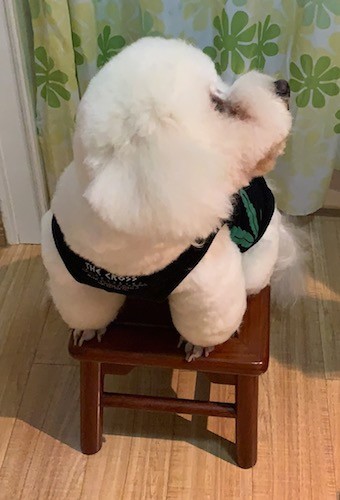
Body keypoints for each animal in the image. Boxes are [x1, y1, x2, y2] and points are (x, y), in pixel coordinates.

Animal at [40, 37, 302, 362]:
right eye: (217, 106)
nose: (283, 85)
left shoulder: (208, 287)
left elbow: (207, 321)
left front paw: (199, 345)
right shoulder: (73, 277)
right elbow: (86, 309)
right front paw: (90, 329)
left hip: (257, 264)